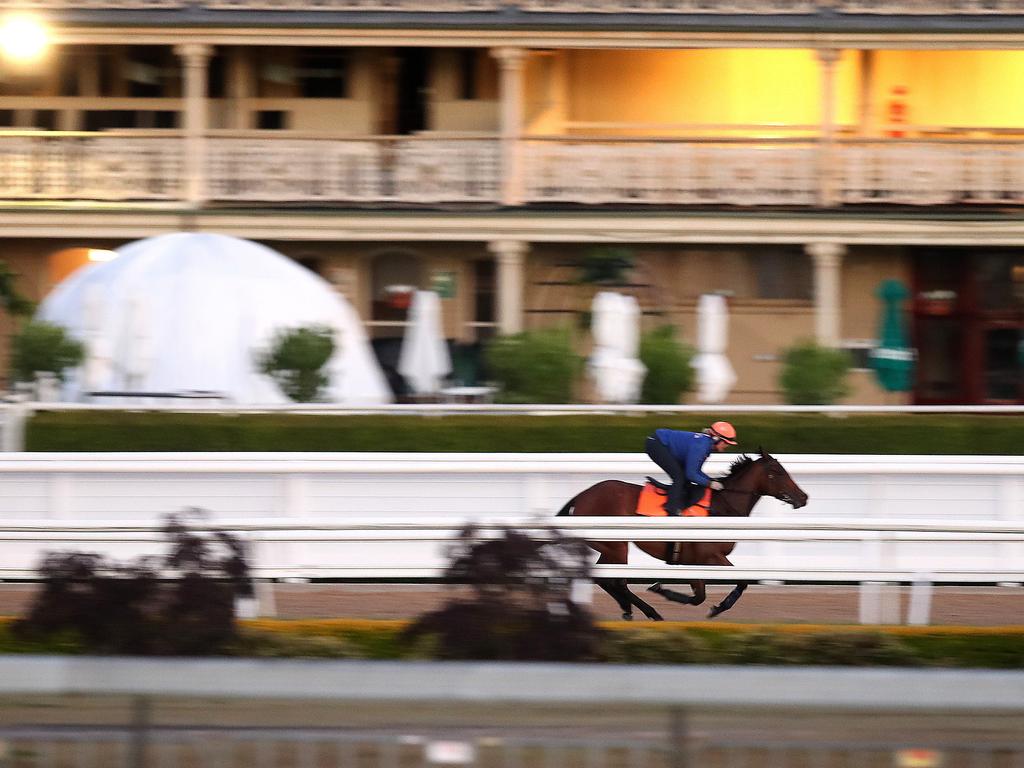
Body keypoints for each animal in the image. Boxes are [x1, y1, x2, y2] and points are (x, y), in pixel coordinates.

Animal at [561, 454, 806, 622]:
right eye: (778, 472)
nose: (803, 497)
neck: (722, 508)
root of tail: (581, 496)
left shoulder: (695, 561)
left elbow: (704, 594)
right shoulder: (708, 557)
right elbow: (730, 585)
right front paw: (663, 590)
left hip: (609, 547)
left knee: (605, 579)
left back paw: (628, 610)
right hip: (617, 546)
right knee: (617, 581)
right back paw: (650, 612)